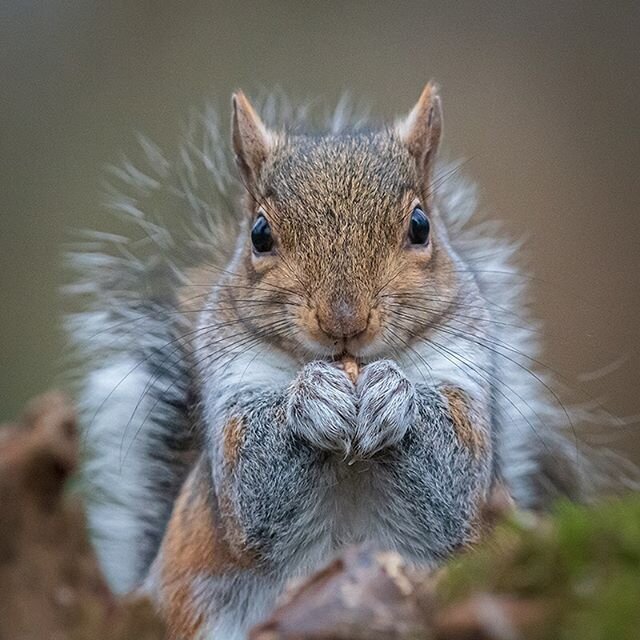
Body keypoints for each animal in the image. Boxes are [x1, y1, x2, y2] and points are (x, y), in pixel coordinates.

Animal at [70, 86, 584, 640]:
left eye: (420, 226)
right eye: (259, 234)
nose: (344, 319)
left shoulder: (463, 373)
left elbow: (455, 488)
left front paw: (392, 395)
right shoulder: (232, 387)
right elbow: (250, 492)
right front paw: (313, 399)